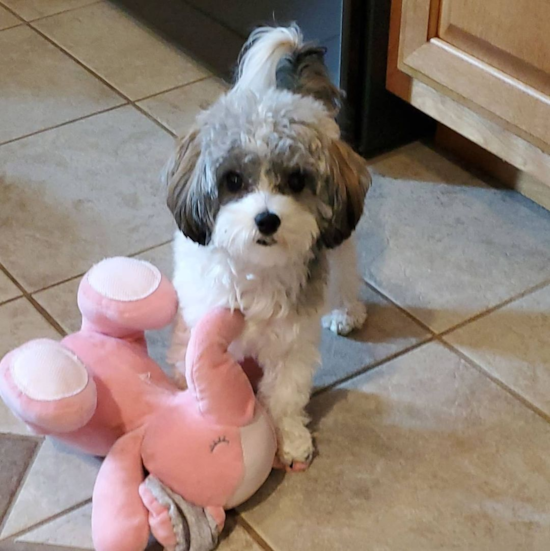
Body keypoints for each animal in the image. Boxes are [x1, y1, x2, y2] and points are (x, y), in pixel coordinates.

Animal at [164, 23, 370, 468]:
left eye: (296, 180)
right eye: (233, 181)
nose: (267, 219)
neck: (255, 268)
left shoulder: (291, 343)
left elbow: (285, 395)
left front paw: (289, 440)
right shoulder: (199, 320)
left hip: (340, 248)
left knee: (345, 274)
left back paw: (347, 311)